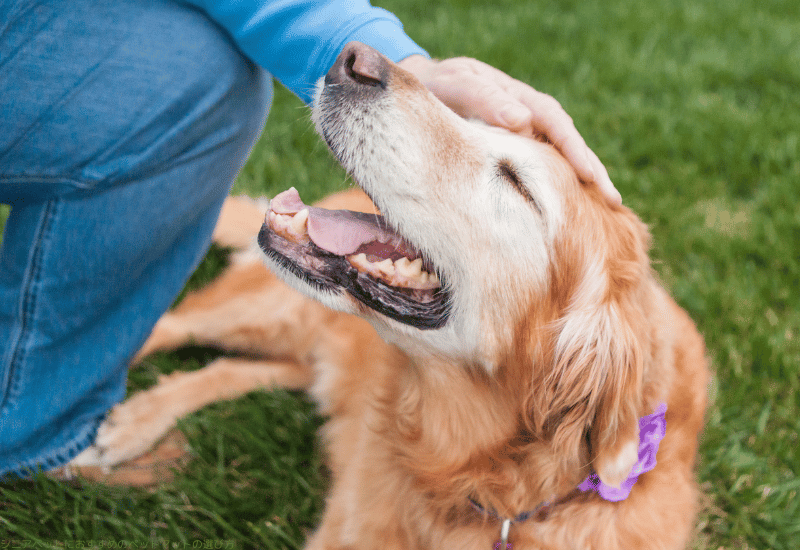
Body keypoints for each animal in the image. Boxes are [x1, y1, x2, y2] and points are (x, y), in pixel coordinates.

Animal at [69, 44, 708, 550]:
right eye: (474, 119)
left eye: (516, 182)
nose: (355, 59)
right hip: (270, 311)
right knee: (159, 327)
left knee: (235, 368)